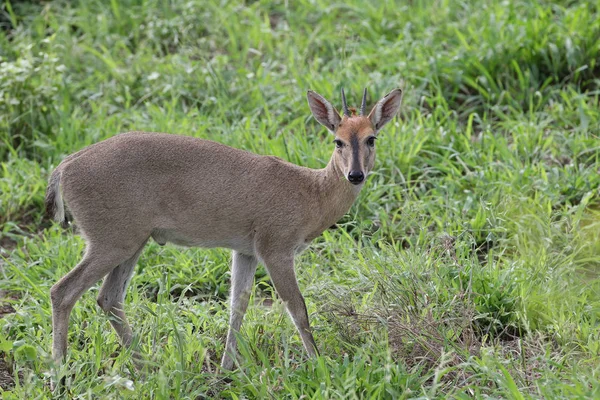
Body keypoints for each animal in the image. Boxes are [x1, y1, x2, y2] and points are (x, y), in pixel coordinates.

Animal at [45, 86, 404, 376]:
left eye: (371, 137)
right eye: (337, 140)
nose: (355, 175)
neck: (310, 192)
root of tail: (65, 166)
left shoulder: (245, 252)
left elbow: (237, 306)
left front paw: (226, 368)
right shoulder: (275, 250)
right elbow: (297, 307)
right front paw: (319, 364)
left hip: (131, 244)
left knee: (108, 298)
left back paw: (148, 368)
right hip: (111, 243)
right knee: (63, 291)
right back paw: (60, 376)